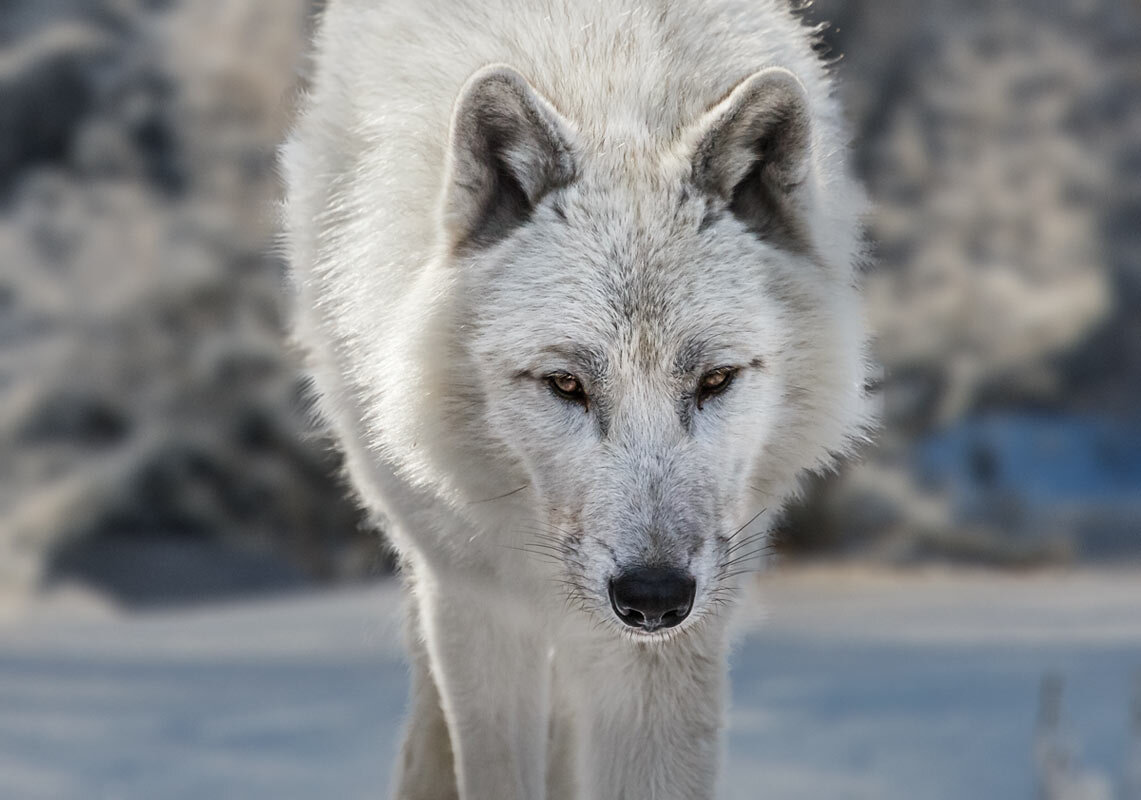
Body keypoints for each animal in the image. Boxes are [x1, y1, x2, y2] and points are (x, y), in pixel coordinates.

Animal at [282, 0, 869, 797]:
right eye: (566, 384)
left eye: (714, 380)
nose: (653, 596)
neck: (612, 96)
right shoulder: (477, 598)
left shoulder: (671, 641)